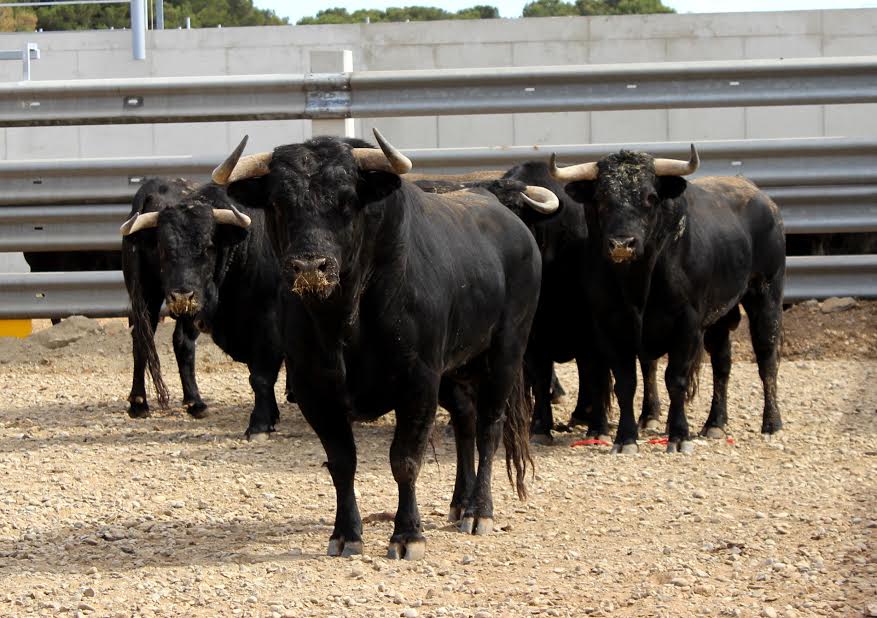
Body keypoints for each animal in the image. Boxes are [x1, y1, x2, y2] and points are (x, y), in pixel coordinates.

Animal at [215, 134, 536, 560]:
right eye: (278, 203)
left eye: (348, 200)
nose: (310, 267)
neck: (345, 319)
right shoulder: (315, 389)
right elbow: (341, 462)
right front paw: (345, 534)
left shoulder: (418, 383)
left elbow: (405, 460)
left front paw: (407, 535)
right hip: (452, 371)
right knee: (465, 423)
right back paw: (459, 503)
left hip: (505, 353)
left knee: (489, 428)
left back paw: (479, 511)